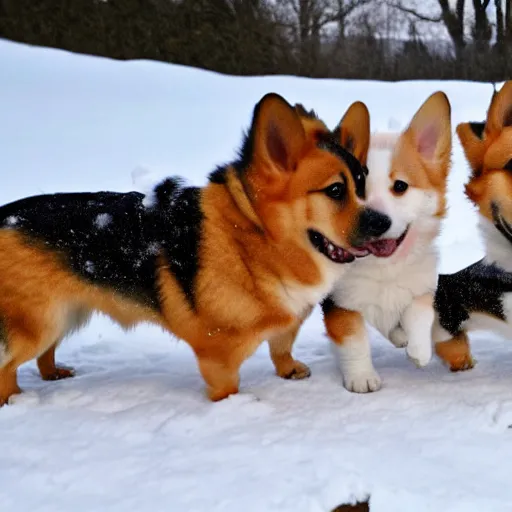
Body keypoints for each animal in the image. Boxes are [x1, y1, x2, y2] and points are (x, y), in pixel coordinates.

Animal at [0, 92, 390, 404]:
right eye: (335, 191)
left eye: (364, 186)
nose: (384, 223)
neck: (254, 238)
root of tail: (3, 216)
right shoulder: (218, 356)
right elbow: (228, 386)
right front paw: (236, 407)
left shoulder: (288, 321)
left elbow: (282, 345)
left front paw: (288, 369)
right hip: (40, 324)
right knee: (8, 365)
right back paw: (15, 400)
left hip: (67, 314)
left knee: (45, 354)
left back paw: (52, 374)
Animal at [322, 91, 454, 392]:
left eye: (401, 186)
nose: (378, 222)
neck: (384, 268)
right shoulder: (341, 303)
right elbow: (354, 340)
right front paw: (361, 378)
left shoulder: (423, 284)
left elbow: (419, 312)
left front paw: (419, 350)